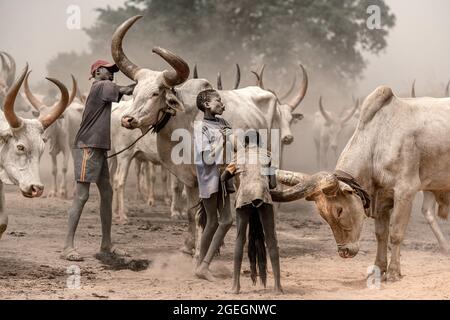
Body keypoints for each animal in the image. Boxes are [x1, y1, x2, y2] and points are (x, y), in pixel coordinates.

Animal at [270, 85, 450, 282]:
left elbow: (395, 234)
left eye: (339, 210)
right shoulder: (382, 198)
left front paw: (393, 272)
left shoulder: (406, 191)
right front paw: (378, 268)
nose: (345, 252)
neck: (378, 140)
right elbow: (381, 234)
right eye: (323, 216)